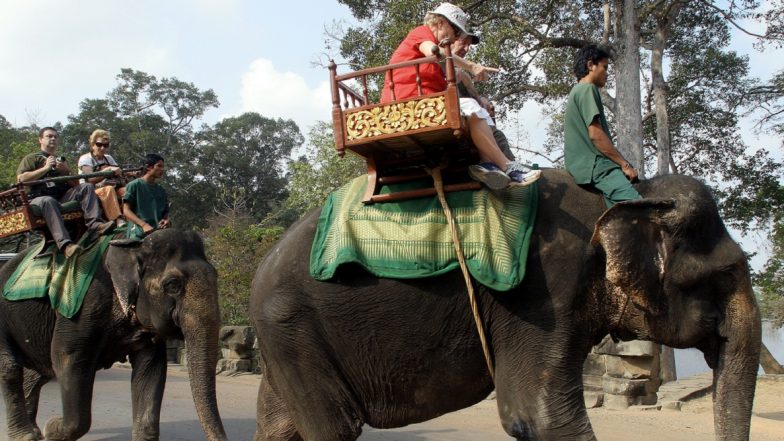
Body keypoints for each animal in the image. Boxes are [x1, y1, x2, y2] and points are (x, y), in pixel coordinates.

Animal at [0, 229, 227, 441]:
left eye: (216, 277)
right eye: (172, 284)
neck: (133, 246)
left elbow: (151, 368)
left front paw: (50, 429)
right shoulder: (83, 307)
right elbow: (67, 358)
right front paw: (51, 428)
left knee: (38, 373)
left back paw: (33, 432)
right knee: (12, 369)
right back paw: (27, 435)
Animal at [250, 170, 761, 441]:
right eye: (726, 274)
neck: (636, 194)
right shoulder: (544, 292)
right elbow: (536, 415)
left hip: (288, 342)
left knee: (279, 428)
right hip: (292, 329)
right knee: (334, 429)